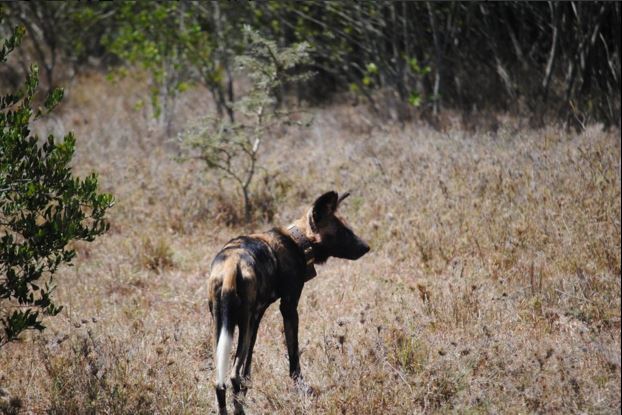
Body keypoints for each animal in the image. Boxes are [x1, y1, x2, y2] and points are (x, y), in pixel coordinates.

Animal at [208, 192, 370, 415]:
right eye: (343, 231)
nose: (366, 247)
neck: (297, 242)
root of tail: (232, 264)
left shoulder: (255, 320)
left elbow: (248, 370)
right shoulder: (289, 309)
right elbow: (294, 361)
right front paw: (302, 391)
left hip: (224, 326)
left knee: (220, 382)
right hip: (242, 326)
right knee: (233, 375)